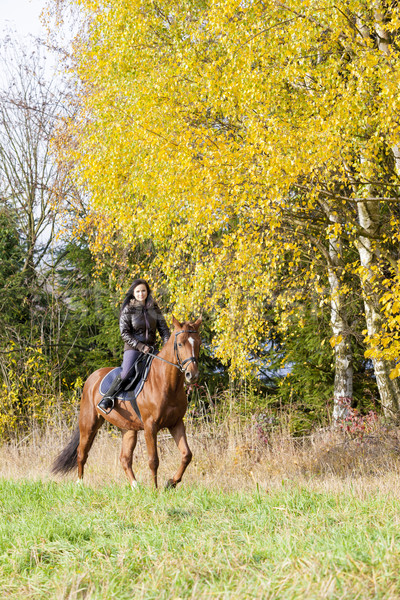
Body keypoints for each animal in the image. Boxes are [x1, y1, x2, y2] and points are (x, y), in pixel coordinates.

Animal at [52, 316, 202, 490]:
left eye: (198, 343)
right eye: (180, 344)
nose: (192, 374)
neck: (166, 383)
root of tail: (93, 377)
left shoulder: (176, 423)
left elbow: (187, 455)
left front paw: (170, 483)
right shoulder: (150, 426)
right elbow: (153, 460)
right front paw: (155, 489)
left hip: (128, 429)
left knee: (124, 458)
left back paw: (135, 486)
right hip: (89, 424)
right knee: (82, 453)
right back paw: (80, 484)